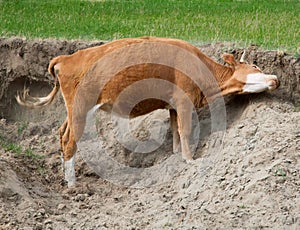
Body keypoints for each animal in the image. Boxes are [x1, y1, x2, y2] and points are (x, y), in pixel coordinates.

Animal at [15, 36, 278, 187]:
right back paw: (72, 184)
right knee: (70, 140)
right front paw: (190, 161)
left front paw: (176, 158)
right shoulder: (184, 101)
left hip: (74, 112)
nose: (276, 78)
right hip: (80, 108)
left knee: (62, 132)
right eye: (255, 65)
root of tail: (66, 57)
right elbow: (185, 130)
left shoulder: (173, 105)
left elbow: (175, 132)